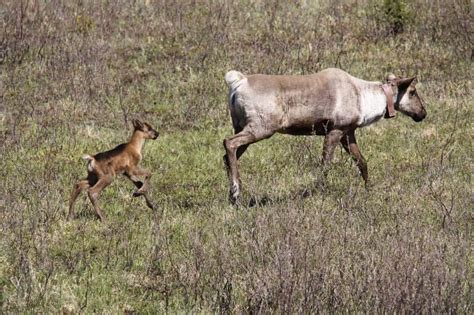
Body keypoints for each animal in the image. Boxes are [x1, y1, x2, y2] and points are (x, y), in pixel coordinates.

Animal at [222, 67, 426, 204]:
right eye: (412, 92)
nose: (423, 113)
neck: (365, 99)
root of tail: (238, 83)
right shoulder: (335, 130)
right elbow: (325, 165)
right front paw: (317, 192)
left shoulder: (348, 132)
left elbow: (362, 161)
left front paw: (369, 189)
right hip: (262, 127)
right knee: (228, 142)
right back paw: (236, 192)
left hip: (241, 126)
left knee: (227, 154)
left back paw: (232, 196)